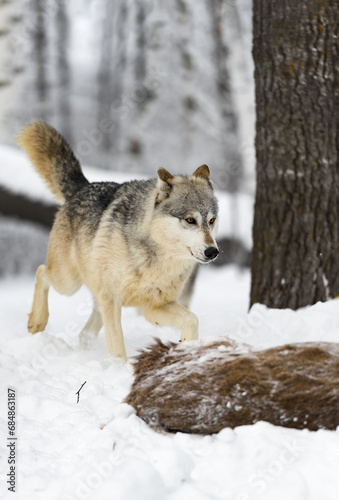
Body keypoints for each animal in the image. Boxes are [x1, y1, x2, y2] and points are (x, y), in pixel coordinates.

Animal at [16, 123, 220, 362]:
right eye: (190, 220)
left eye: (211, 221)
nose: (212, 252)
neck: (156, 256)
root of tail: (82, 187)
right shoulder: (112, 298)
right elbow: (117, 344)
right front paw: (119, 367)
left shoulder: (153, 306)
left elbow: (192, 319)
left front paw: (187, 350)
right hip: (68, 283)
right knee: (41, 272)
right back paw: (37, 323)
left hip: (93, 295)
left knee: (84, 333)